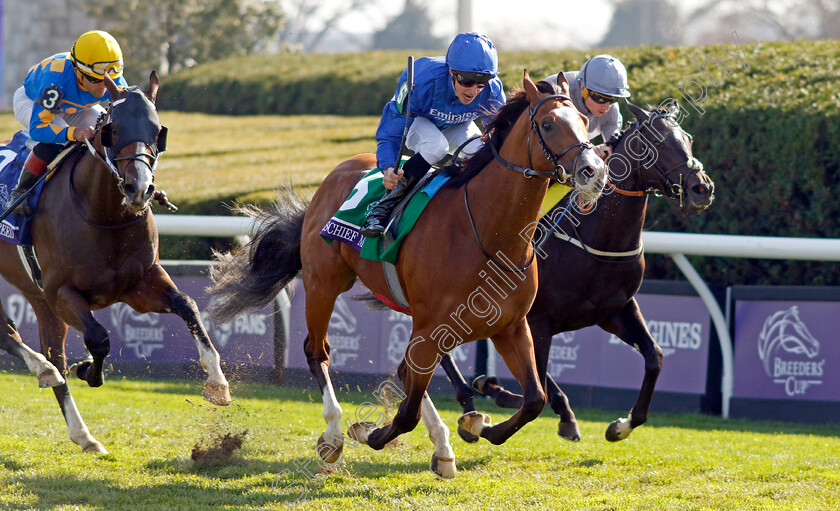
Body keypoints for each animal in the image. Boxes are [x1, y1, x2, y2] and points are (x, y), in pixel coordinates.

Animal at [0, 72, 230, 452]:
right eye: (114, 128)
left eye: (157, 130)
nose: (140, 188)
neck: (103, 215)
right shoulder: (62, 292)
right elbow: (99, 339)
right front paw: (87, 369)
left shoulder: (139, 284)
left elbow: (188, 304)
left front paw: (217, 382)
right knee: (17, 339)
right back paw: (46, 373)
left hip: (38, 298)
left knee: (48, 349)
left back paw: (79, 426)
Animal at [208, 71, 608, 476]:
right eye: (548, 124)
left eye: (585, 121)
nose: (595, 172)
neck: (488, 233)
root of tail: (332, 177)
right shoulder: (432, 327)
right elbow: (406, 414)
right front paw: (369, 432)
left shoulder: (509, 325)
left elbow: (533, 399)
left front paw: (482, 427)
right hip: (324, 284)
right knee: (317, 351)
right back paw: (334, 435)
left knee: (407, 372)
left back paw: (443, 446)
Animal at [440, 101, 716, 444]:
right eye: (657, 141)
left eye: (688, 138)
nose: (701, 188)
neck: (596, 238)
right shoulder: (537, 320)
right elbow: (538, 384)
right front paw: (499, 392)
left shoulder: (616, 310)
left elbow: (655, 356)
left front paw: (622, 425)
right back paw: (470, 400)